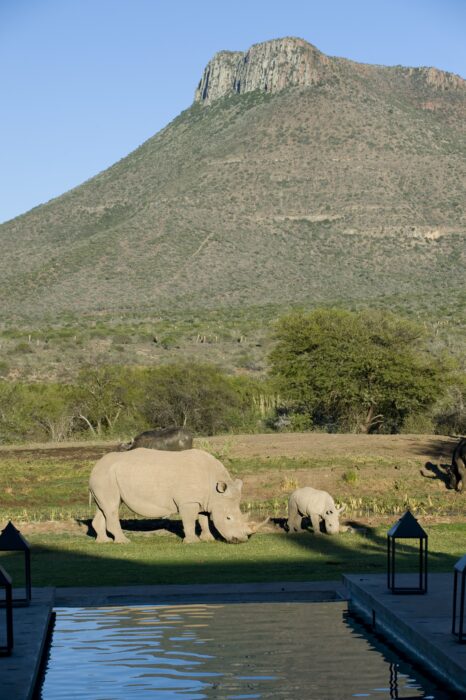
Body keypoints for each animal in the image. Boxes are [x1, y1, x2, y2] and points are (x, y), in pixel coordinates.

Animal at [89, 448, 256, 548]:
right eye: (228, 518)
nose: (241, 540)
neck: (215, 491)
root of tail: (96, 466)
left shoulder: (204, 500)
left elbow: (204, 519)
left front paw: (208, 539)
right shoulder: (188, 501)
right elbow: (190, 520)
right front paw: (192, 542)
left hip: (105, 476)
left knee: (104, 507)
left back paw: (103, 542)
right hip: (106, 476)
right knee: (112, 507)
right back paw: (124, 542)